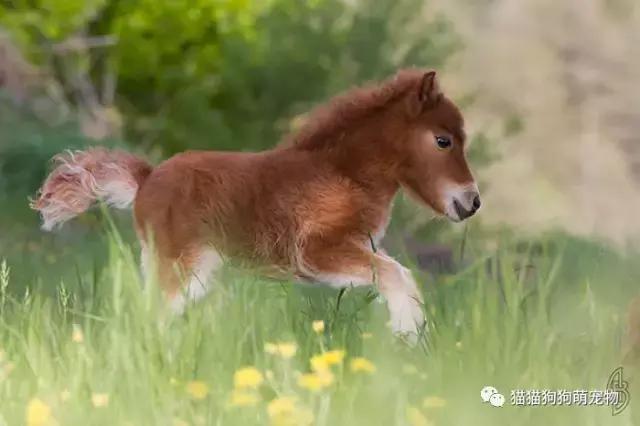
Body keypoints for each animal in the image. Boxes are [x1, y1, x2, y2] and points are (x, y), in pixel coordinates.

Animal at [31, 68, 481, 341]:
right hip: (182, 268)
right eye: (443, 140)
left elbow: (399, 274)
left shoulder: (358, 246)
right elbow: (396, 274)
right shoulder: (315, 252)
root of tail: (146, 178)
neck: (343, 172)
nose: (472, 202)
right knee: (151, 314)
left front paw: (411, 336)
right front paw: (408, 336)